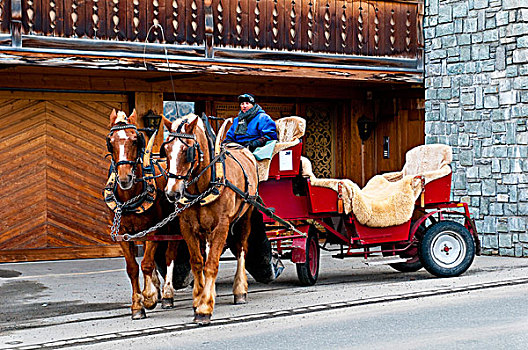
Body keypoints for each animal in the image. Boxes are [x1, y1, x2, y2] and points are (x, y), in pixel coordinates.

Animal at [104, 110, 185, 320]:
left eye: (135, 139)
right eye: (110, 141)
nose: (124, 178)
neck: (130, 197)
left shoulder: (152, 230)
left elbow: (147, 263)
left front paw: (148, 297)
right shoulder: (123, 234)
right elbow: (132, 268)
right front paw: (136, 306)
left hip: (172, 225)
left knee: (169, 255)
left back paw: (166, 295)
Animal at [163, 113, 258, 324]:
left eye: (187, 151)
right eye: (166, 150)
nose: (172, 193)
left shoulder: (222, 225)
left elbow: (212, 265)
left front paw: (204, 307)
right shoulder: (187, 226)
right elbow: (198, 262)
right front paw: (198, 298)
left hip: (246, 215)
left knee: (241, 249)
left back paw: (240, 290)